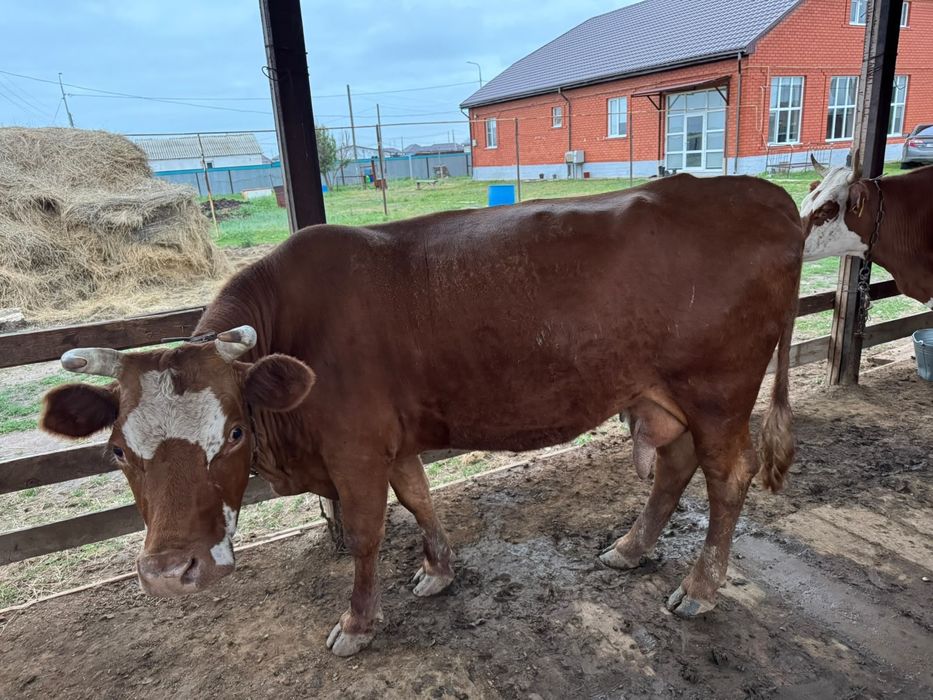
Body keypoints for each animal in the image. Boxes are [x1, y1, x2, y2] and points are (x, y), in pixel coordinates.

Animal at [41, 174, 804, 657]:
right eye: (116, 451)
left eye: (231, 432)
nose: (173, 572)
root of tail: (761, 193)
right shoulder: (391, 439)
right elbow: (419, 496)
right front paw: (439, 570)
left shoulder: (353, 450)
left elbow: (367, 533)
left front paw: (358, 623)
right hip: (660, 394)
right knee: (673, 466)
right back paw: (631, 547)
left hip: (719, 391)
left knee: (726, 478)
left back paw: (700, 587)